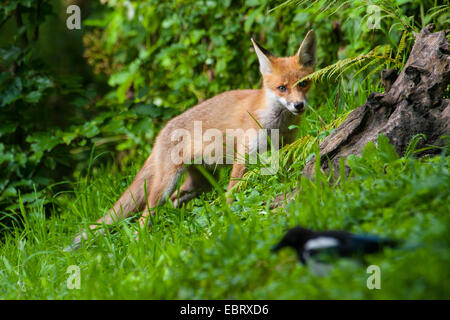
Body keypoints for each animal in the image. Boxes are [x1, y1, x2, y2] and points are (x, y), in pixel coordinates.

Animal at [68, 30, 318, 250]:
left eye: (304, 83)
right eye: (282, 88)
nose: (299, 105)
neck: (276, 123)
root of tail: (159, 135)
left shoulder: (286, 147)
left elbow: (286, 172)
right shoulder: (244, 156)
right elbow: (233, 192)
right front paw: (229, 218)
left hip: (200, 184)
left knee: (173, 201)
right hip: (167, 184)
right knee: (144, 215)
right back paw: (141, 244)